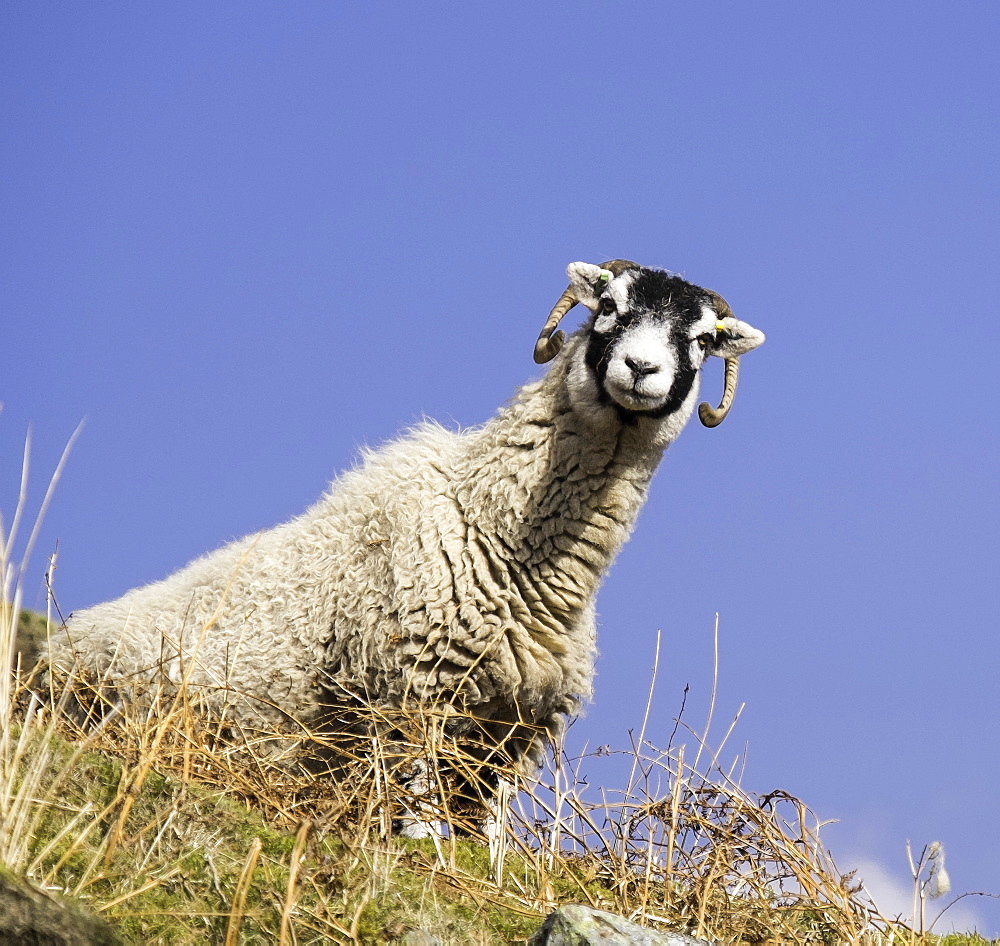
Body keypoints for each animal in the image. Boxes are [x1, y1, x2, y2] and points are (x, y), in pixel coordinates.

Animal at [43, 260, 764, 824]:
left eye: (701, 339)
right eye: (609, 306)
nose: (641, 369)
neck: (496, 534)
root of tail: (54, 649)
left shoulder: (508, 737)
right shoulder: (411, 700)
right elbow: (414, 822)